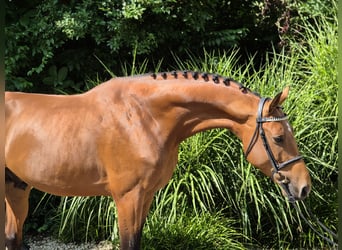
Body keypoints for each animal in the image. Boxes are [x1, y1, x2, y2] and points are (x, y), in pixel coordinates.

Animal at [4, 71, 312, 250]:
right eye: (279, 137)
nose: (304, 187)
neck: (144, 116)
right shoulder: (127, 197)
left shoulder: (146, 195)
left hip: (16, 188)